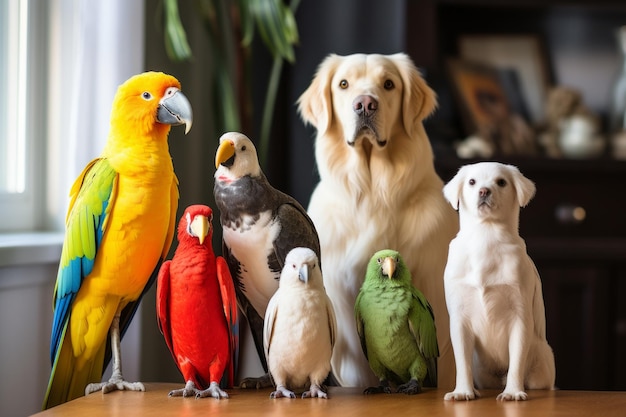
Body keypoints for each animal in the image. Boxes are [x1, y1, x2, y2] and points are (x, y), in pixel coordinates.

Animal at [442, 162, 552, 400]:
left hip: (541, 366)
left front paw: (513, 391)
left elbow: (516, 362)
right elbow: (461, 362)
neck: (485, 237)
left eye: (501, 182)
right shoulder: (459, 319)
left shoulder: (520, 317)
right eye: (472, 182)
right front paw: (463, 391)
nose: (484, 191)